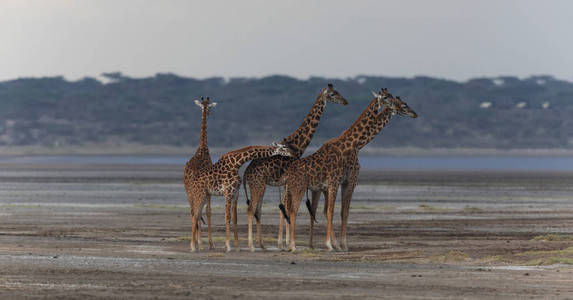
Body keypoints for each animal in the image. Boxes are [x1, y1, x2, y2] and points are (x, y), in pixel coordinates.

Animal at [242, 83, 348, 252]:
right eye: (332, 94)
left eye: (337, 91)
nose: (345, 102)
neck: (297, 145)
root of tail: (246, 172)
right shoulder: (289, 181)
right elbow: (287, 208)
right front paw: (286, 244)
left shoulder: (286, 182)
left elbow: (285, 208)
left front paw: (284, 244)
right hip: (258, 185)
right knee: (251, 209)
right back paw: (252, 246)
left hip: (261, 186)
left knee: (257, 210)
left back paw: (262, 245)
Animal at [280, 88, 416, 251]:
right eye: (402, 104)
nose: (415, 114)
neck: (356, 144)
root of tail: (289, 172)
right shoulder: (344, 181)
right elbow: (334, 211)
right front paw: (334, 245)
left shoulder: (339, 183)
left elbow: (340, 212)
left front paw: (340, 245)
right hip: (298, 188)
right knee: (292, 210)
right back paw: (291, 245)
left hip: (298, 189)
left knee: (290, 209)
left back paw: (293, 244)